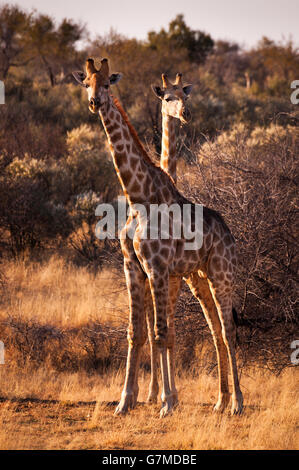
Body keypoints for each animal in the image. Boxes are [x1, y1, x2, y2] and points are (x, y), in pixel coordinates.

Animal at [72, 57, 244, 414]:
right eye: (86, 84)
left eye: (107, 84)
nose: (95, 102)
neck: (138, 196)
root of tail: (228, 231)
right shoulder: (134, 269)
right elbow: (136, 333)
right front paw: (125, 401)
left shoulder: (160, 270)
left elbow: (164, 333)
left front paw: (168, 402)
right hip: (199, 278)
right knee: (216, 330)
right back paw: (220, 402)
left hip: (222, 274)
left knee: (229, 329)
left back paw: (237, 402)